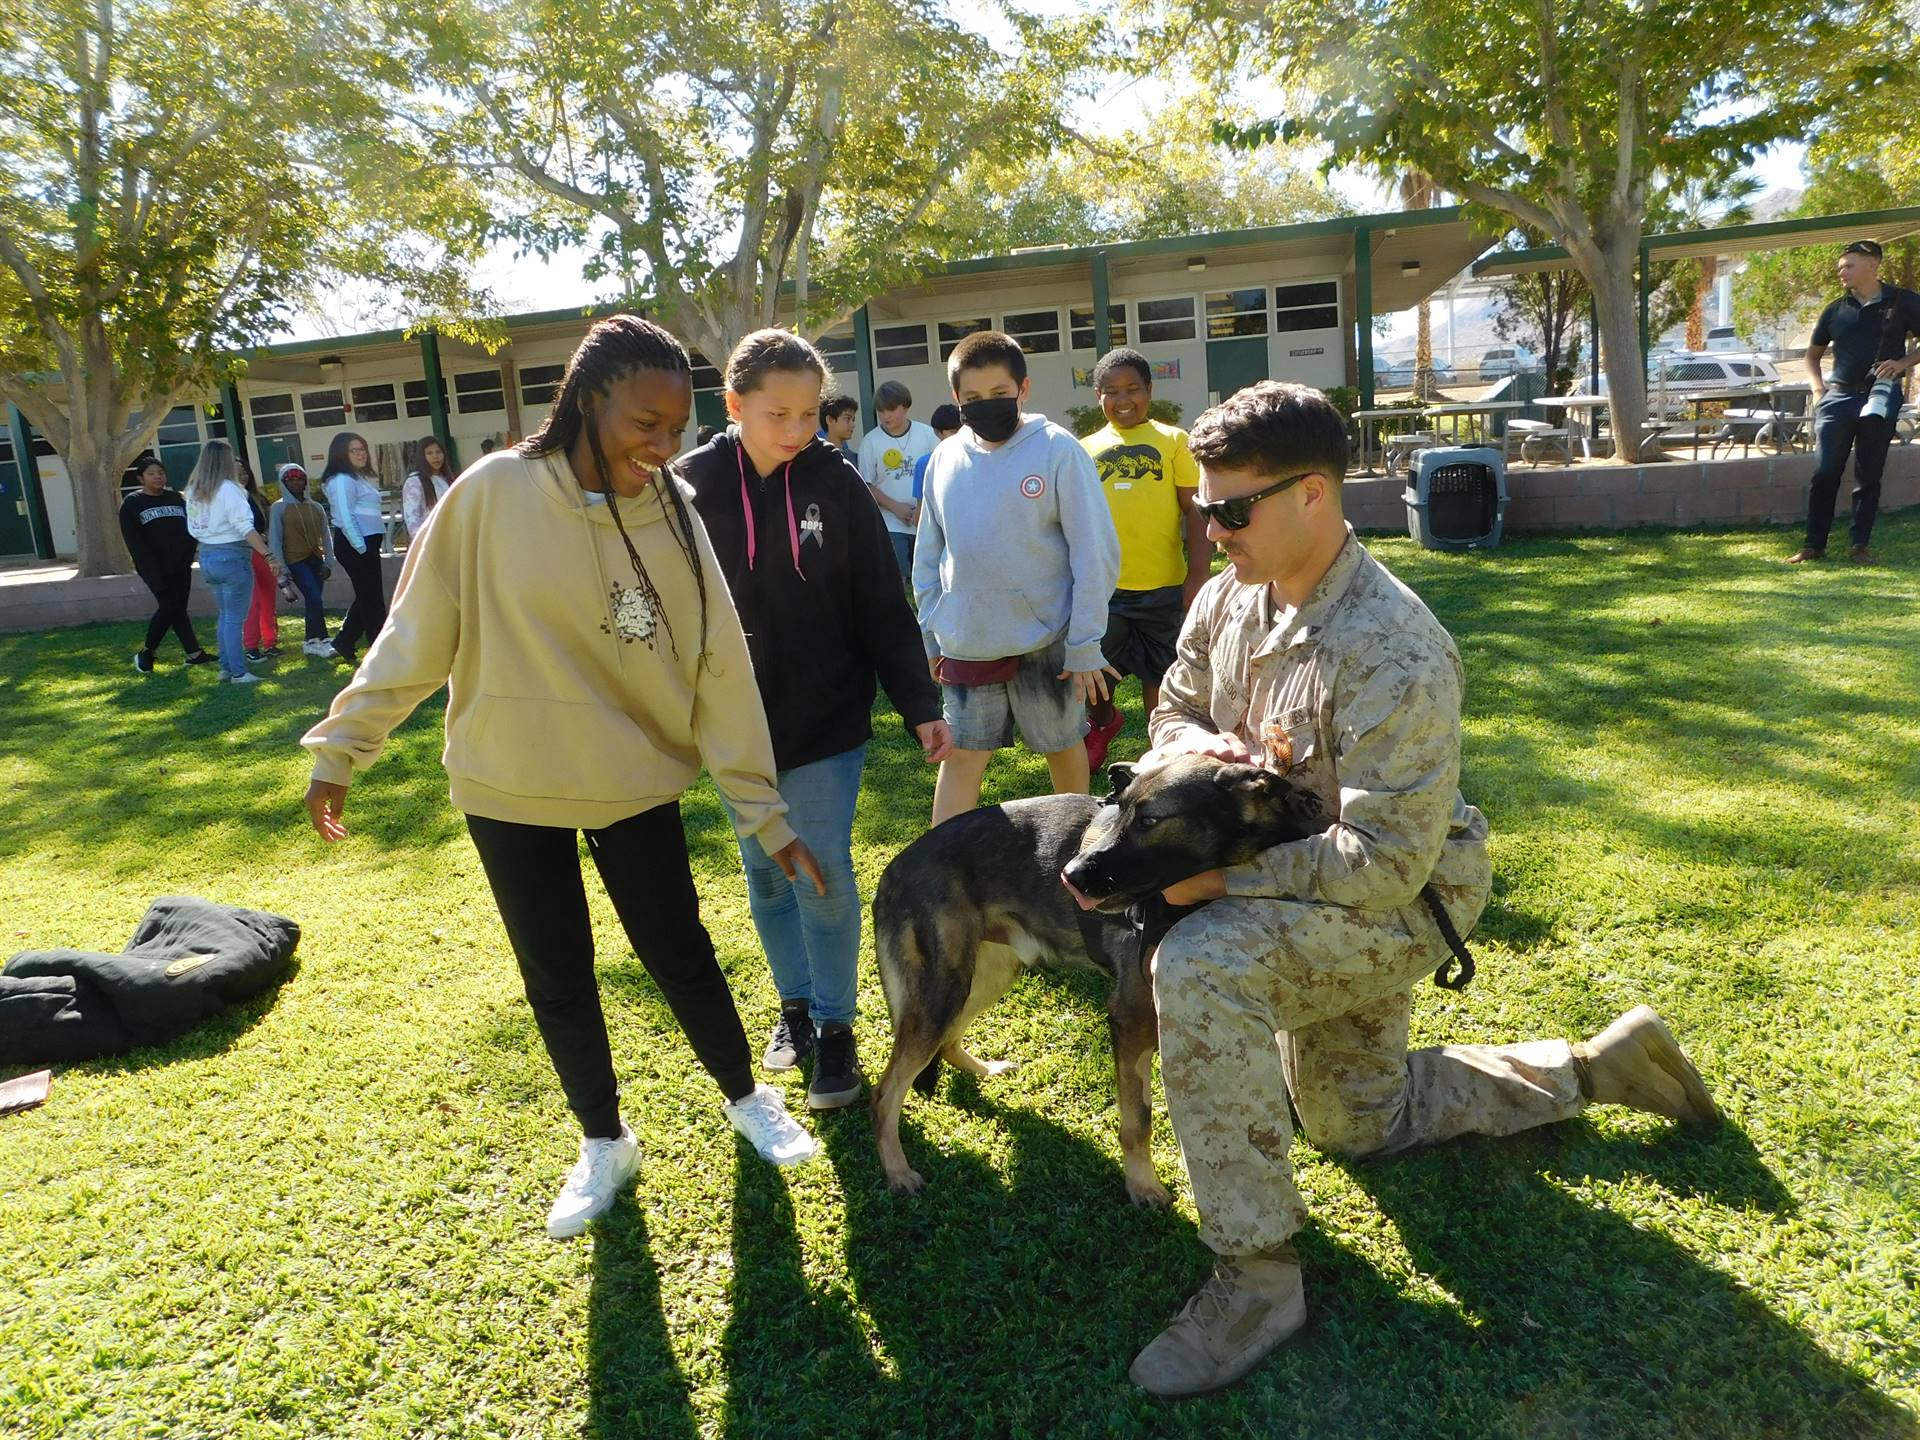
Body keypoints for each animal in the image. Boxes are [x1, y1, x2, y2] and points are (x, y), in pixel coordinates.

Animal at [871, 756, 1320, 1205]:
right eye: (1118, 810)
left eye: (1149, 821)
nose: (1068, 875)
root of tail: (893, 868)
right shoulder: (1133, 1019)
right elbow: (1138, 1119)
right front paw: (1142, 1185)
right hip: (942, 992)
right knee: (885, 1092)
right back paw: (897, 1171)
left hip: (985, 977)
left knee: (946, 1044)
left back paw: (983, 1070)